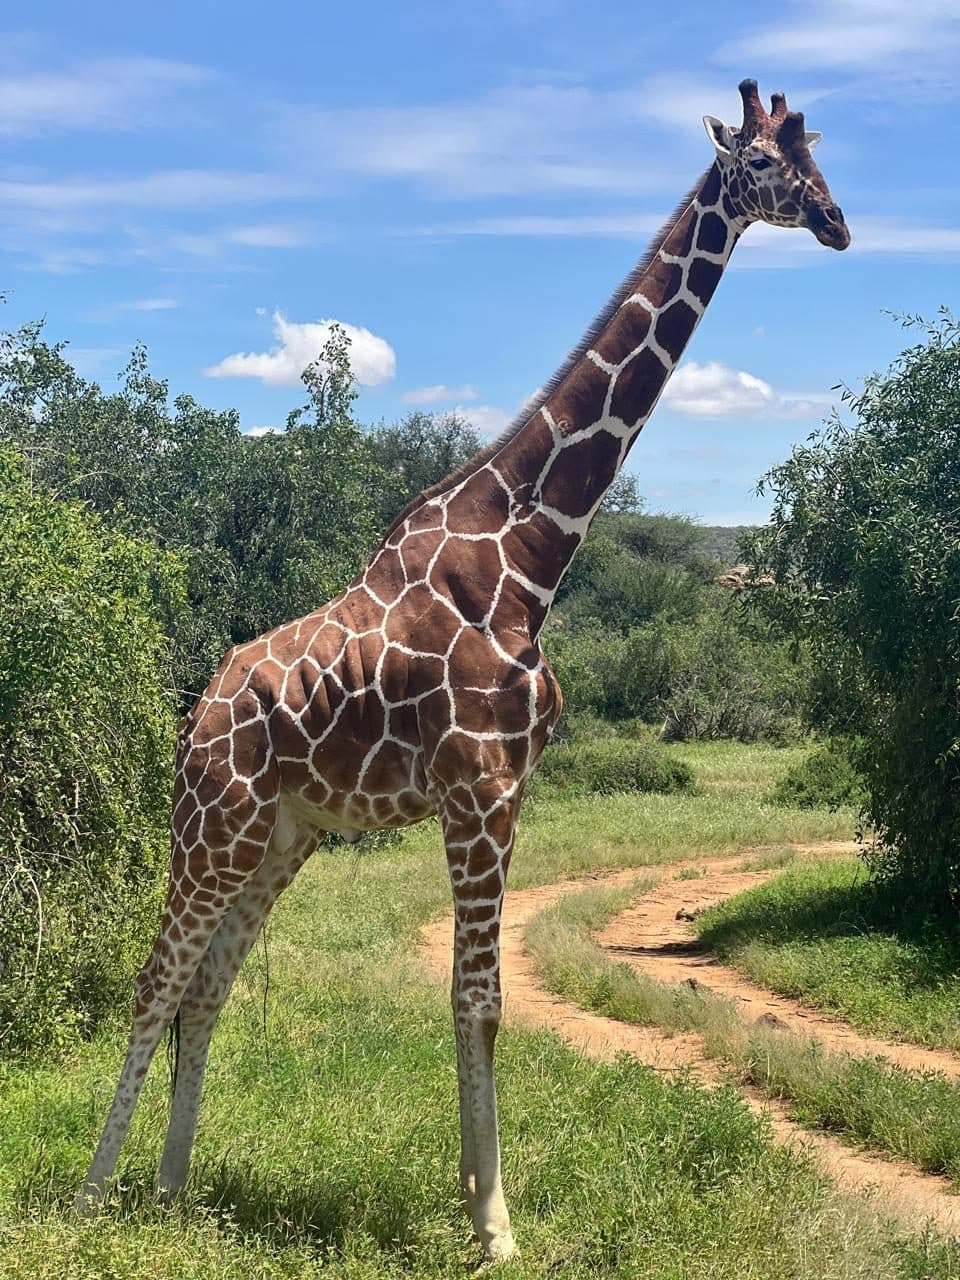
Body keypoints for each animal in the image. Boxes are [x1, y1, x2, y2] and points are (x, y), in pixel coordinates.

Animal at [76, 80, 849, 1261]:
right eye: (765, 163)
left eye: (814, 154)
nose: (839, 222)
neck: (531, 551)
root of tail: (197, 711)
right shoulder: (478, 785)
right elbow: (477, 997)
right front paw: (495, 1226)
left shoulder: (505, 787)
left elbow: (469, 994)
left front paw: (475, 1198)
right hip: (213, 821)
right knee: (154, 981)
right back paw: (89, 1197)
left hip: (281, 834)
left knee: (205, 987)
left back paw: (170, 1190)